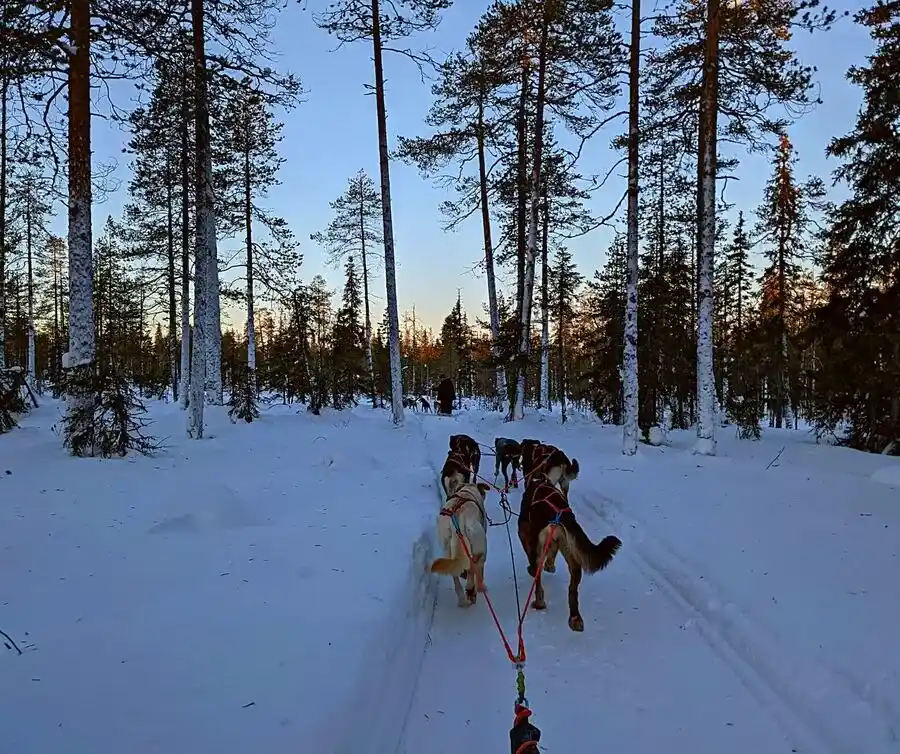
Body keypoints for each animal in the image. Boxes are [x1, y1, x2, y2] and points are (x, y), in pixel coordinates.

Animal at [516, 476, 624, 628]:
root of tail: (558, 517)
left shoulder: (524, 534)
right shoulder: (555, 542)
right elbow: (552, 555)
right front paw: (550, 566)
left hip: (540, 548)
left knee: (538, 582)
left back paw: (539, 603)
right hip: (572, 557)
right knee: (572, 590)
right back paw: (575, 617)